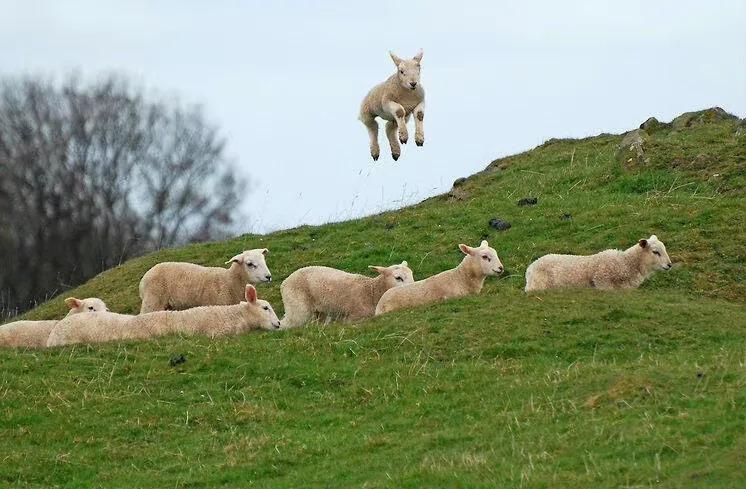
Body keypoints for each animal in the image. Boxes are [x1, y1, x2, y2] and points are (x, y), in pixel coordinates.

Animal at [282, 260, 416, 328]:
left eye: (411, 274)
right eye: (398, 278)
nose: (413, 288)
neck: (371, 293)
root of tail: (285, 281)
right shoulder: (353, 317)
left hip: (320, 312)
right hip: (298, 310)